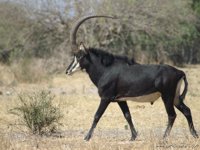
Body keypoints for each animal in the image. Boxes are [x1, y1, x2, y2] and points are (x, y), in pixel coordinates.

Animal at [66, 15, 198, 141]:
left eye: (79, 56)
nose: (68, 71)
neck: (106, 69)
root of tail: (180, 72)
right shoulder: (121, 99)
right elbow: (127, 115)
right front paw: (133, 136)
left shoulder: (105, 98)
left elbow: (97, 115)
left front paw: (87, 137)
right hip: (175, 97)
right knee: (187, 110)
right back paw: (194, 134)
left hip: (167, 96)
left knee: (172, 115)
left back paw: (164, 137)